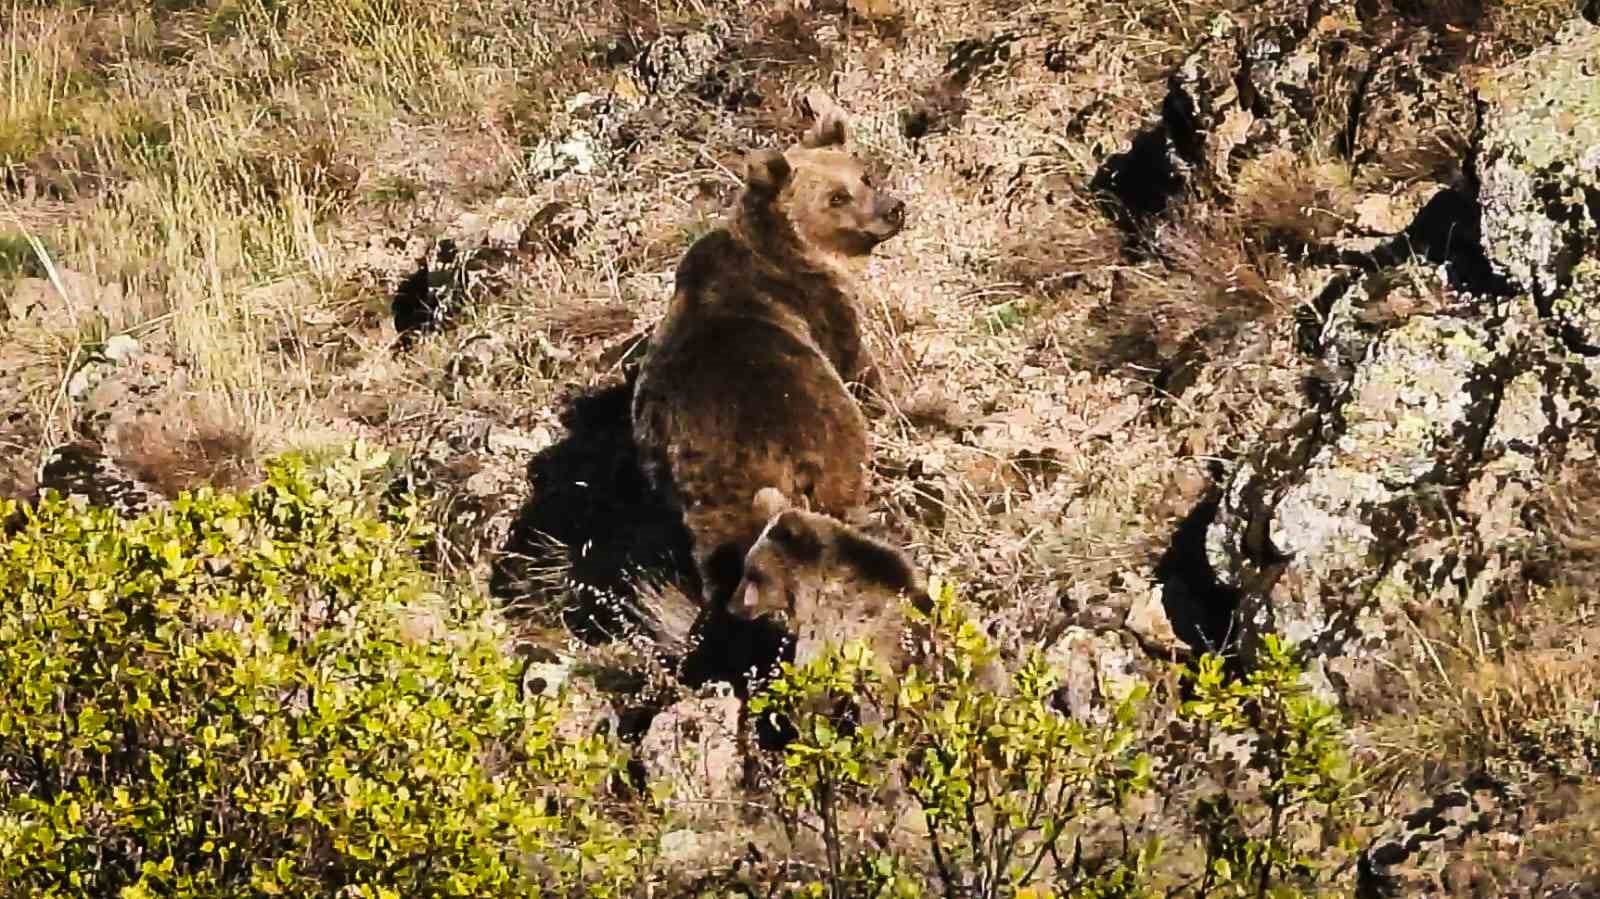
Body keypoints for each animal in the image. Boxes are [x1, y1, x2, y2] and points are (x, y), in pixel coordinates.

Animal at [627, 101, 908, 611]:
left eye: (864, 175)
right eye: (837, 197)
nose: (893, 209)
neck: (790, 248)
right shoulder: (819, 305)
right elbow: (859, 363)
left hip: (702, 501)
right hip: (819, 429)